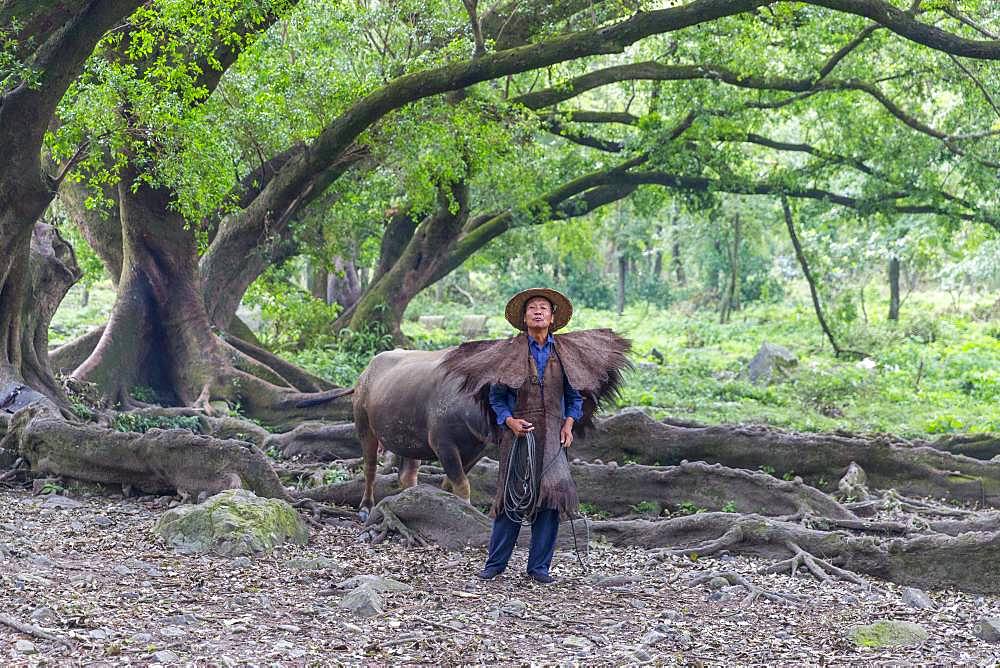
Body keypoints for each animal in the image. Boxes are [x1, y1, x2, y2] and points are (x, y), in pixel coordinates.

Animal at [354, 348, 494, 520]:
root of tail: (365, 374)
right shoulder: (443, 445)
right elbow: (462, 484)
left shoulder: (476, 451)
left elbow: (450, 483)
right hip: (364, 427)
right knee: (370, 468)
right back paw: (366, 507)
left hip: (409, 443)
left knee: (407, 474)